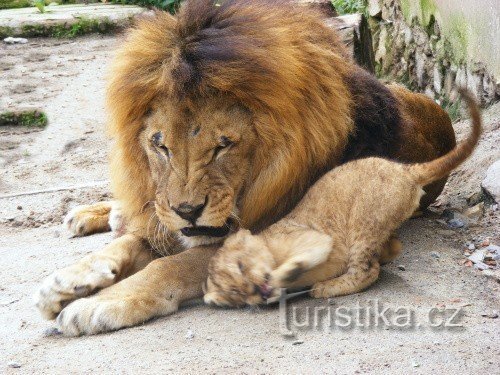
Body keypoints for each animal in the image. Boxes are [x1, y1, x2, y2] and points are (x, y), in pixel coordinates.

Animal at [35, 0, 458, 334]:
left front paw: (98, 303)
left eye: (223, 146)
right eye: (160, 145)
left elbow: (171, 266)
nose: (188, 211)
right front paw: (69, 281)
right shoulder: (170, 213)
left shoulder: (265, 236)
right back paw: (93, 214)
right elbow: (131, 242)